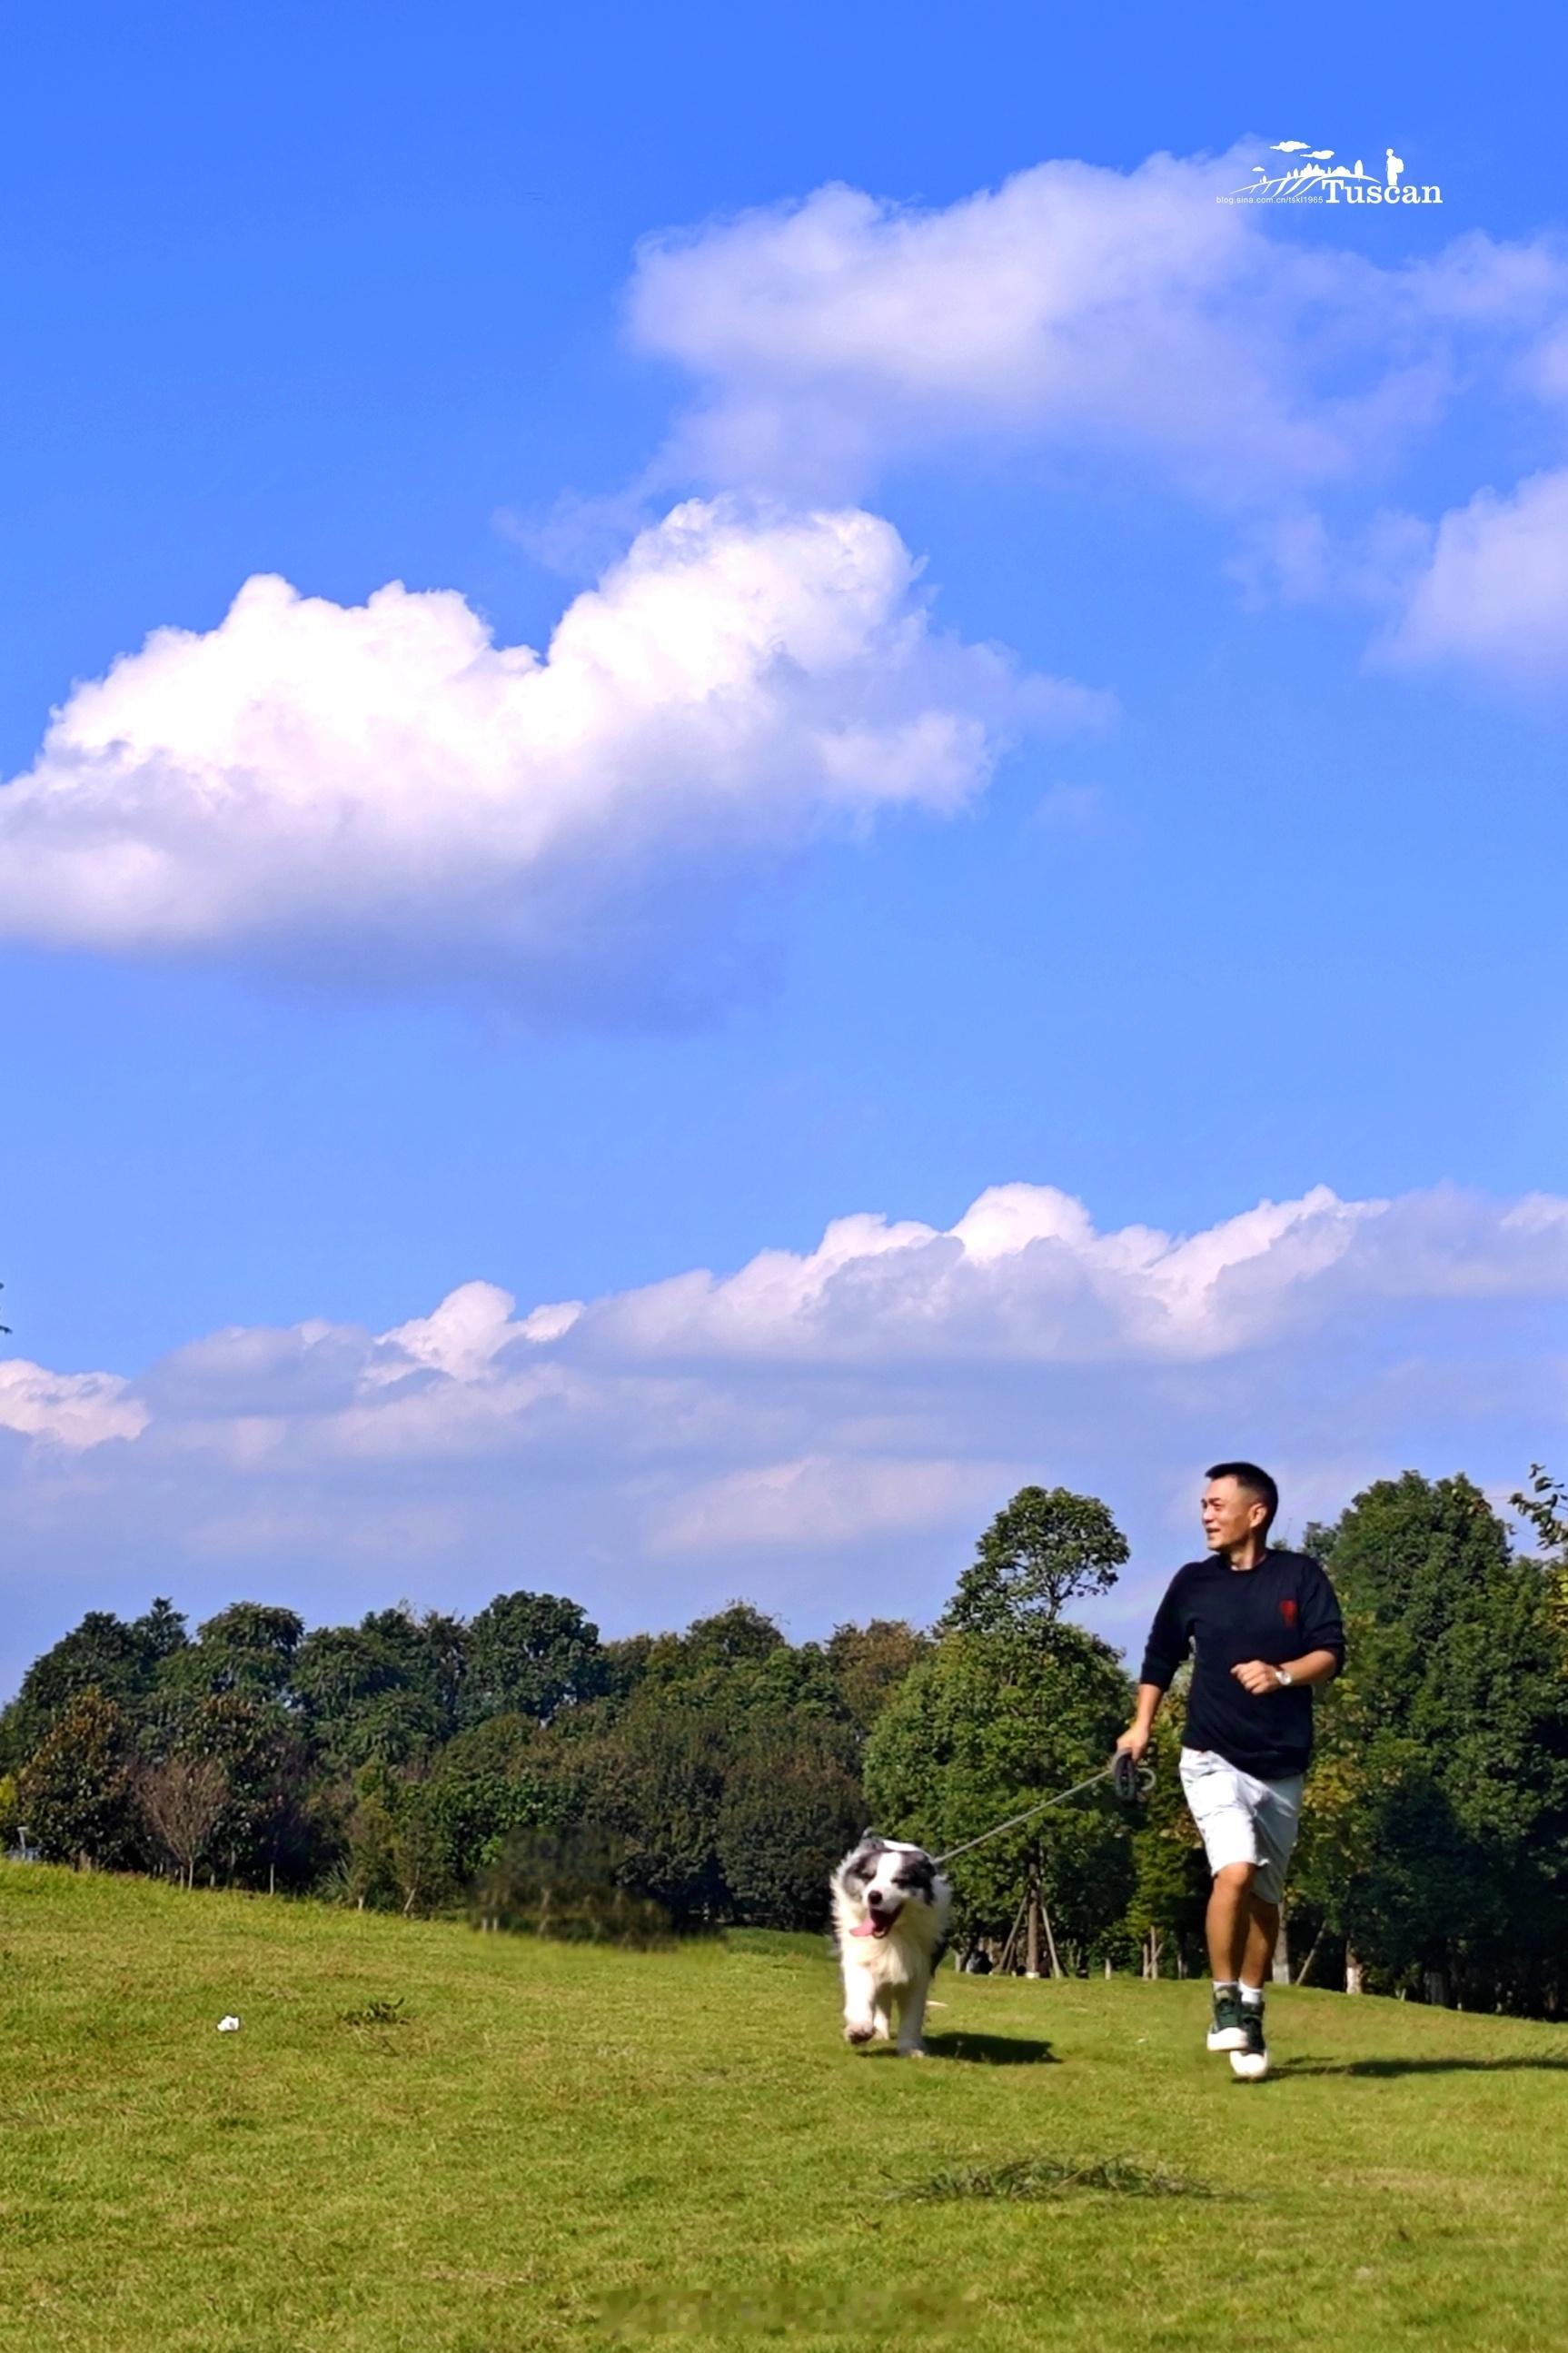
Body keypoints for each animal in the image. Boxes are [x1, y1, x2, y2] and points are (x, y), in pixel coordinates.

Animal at [824, 1835, 946, 2060]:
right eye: (869, 1877)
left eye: (899, 1880)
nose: (874, 1896)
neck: (893, 1935)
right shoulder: (860, 1955)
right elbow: (861, 1991)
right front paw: (859, 2029)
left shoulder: (921, 1965)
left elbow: (913, 2013)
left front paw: (910, 2048)